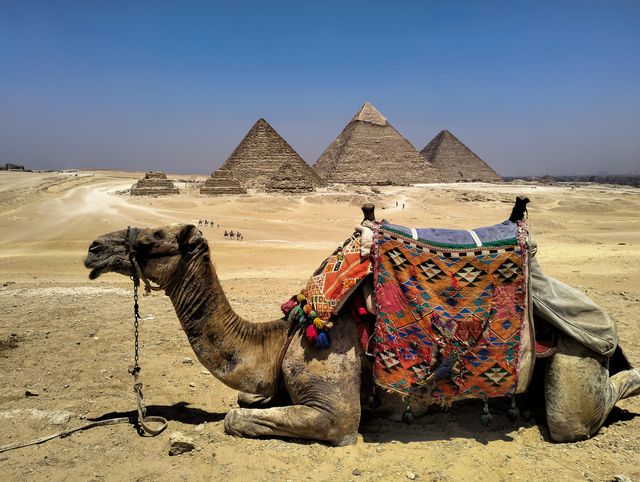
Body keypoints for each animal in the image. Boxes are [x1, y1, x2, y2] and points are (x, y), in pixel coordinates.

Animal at [84, 209, 640, 446]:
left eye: (152, 239)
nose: (93, 248)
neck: (279, 337)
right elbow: (248, 401)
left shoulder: (334, 413)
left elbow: (236, 418)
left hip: (575, 355)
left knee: (574, 416)